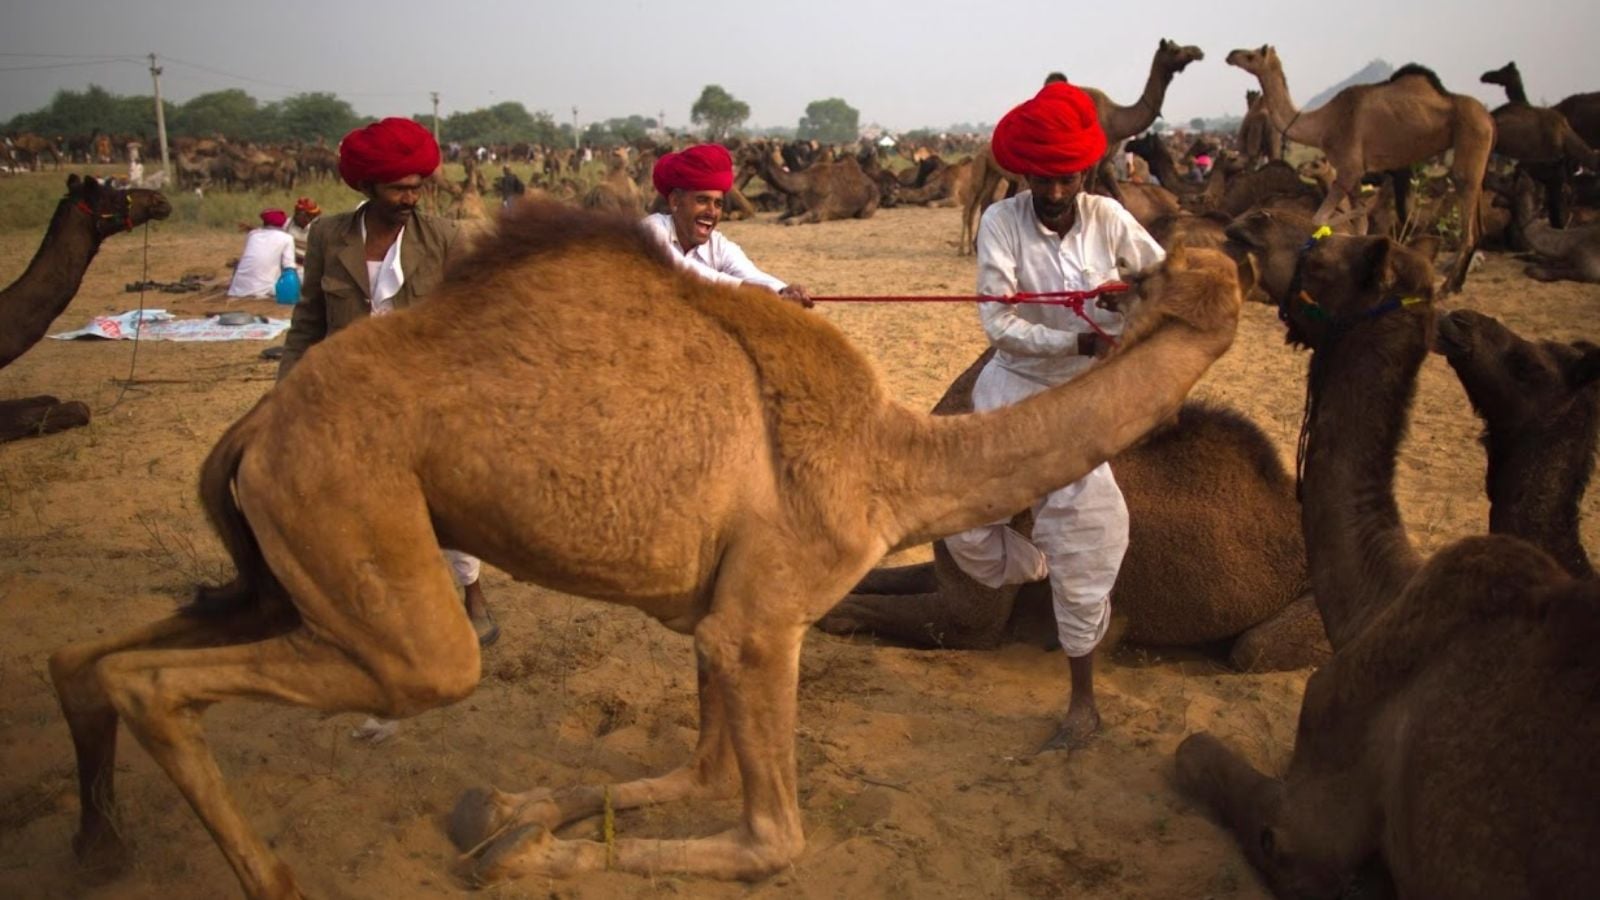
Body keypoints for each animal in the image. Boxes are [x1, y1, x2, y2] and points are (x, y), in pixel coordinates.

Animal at [47, 203, 1243, 897]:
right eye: (1163, 267)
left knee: (94, 658)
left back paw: (99, 840)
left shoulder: (715, 613)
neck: (888, 463)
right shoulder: (763, 619)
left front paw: (506, 812)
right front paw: (524, 847)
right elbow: (772, 839)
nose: (1121, 290)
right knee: (215, 679)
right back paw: (272, 879)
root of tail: (258, 424)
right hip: (352, 521)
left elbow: (696, 766)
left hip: (284, 551)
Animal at [958, 39, 1206, 254]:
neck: (1115, 120)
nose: (1197, 51)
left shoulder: (1106, 164)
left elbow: (1120, 200)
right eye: (1174, 49)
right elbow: (1088, 196)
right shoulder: (1091, 163)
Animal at [1225, 45, 1496, 293]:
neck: (1323, 124)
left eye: (1251, 55)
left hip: (1472, 136)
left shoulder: (1349, 168)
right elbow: (1359, 224)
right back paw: (1457, 283)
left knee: (1466, 211)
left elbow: (1320, 218)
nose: (1231, 55)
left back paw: (1447, 287)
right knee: (1479, 221)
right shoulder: (1355, 176)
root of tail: (1489, 119)